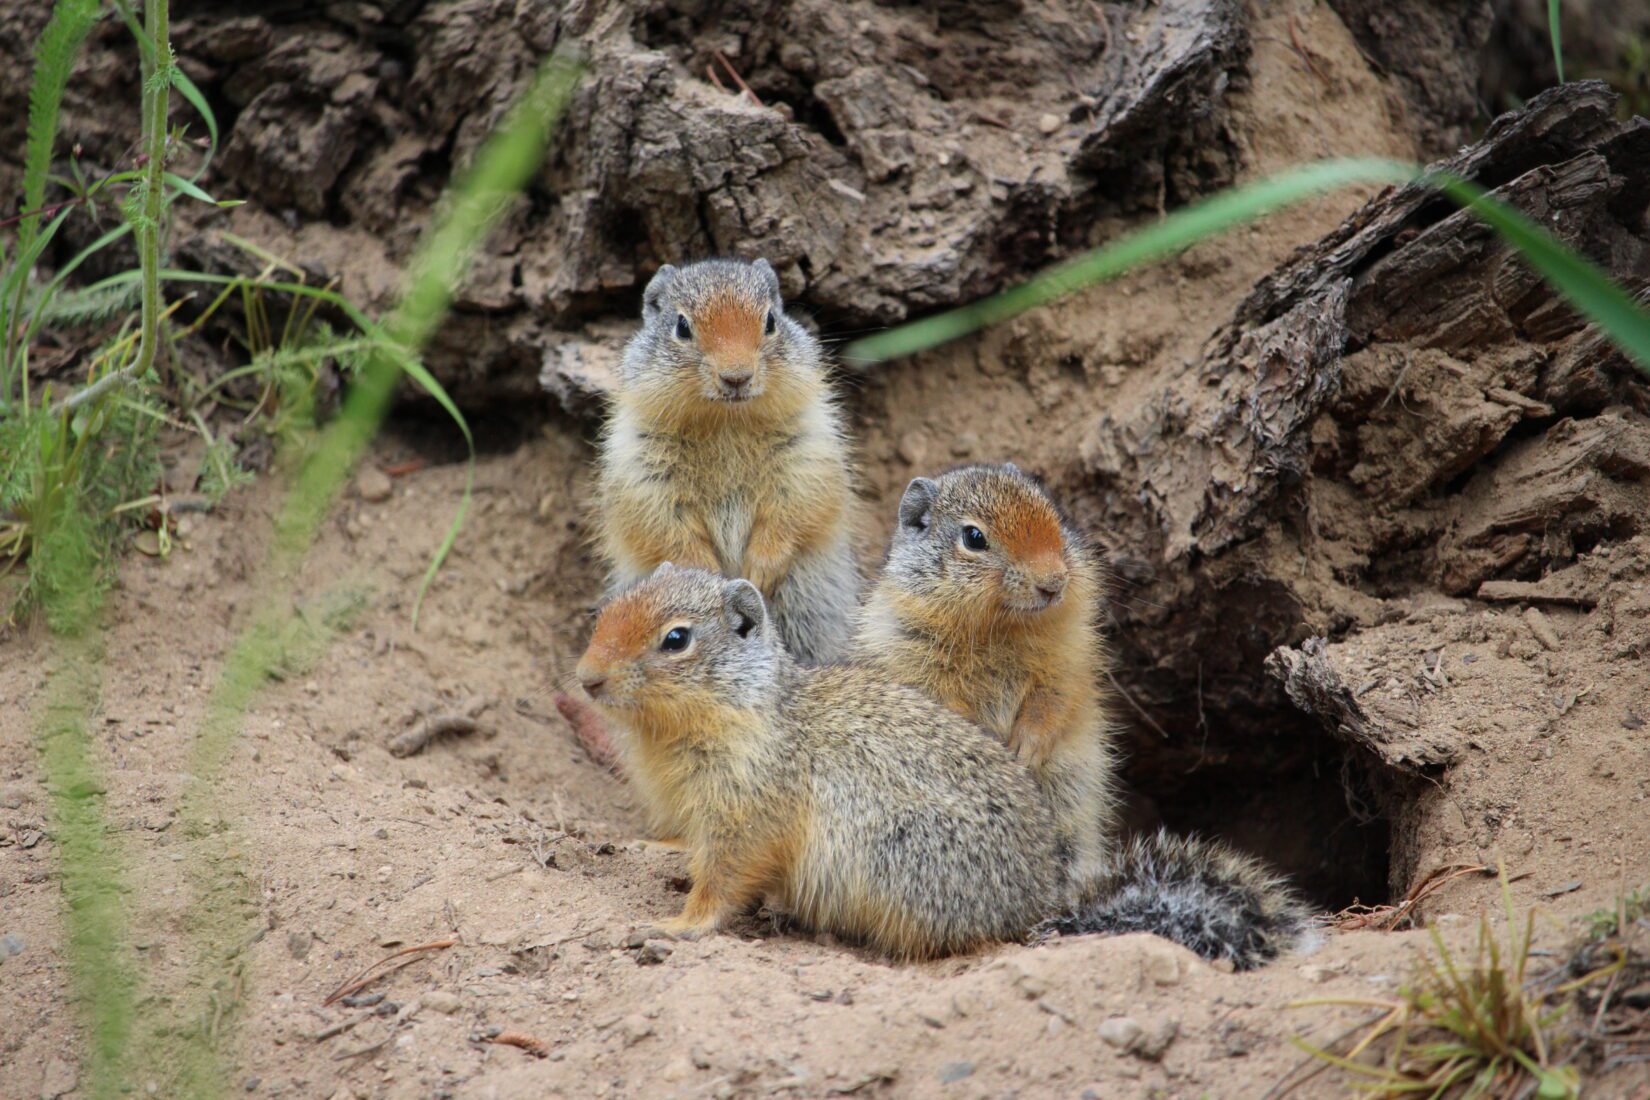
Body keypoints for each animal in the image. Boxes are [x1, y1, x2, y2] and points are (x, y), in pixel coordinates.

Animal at [577, 564, 1056, 956]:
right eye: (606, 612)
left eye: (676, 639)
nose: (587, 679)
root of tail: (1037, 896)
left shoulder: (743, 815)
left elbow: (720, 880)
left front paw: (677, 924)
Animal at [851, 461, 1122, 890]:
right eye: (974, 537)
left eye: (1055, 516)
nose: (1054, 582)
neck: (1002, 628)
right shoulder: (912, 657)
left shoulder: (1067, 661)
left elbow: (1053, 701)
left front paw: (1026, 749)